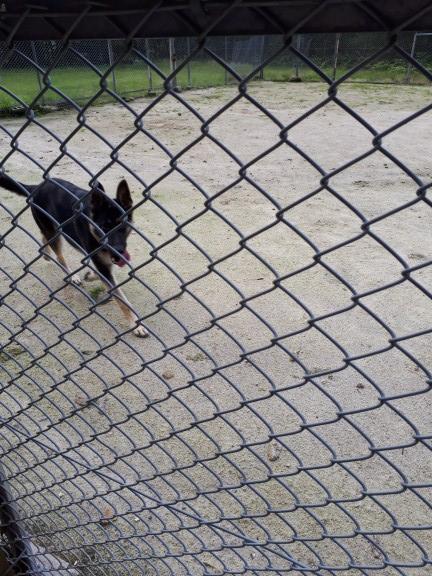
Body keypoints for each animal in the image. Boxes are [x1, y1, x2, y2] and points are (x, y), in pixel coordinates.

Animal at [0, 173, 148, 337]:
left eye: (123, 225)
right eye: (103, 227)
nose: (118, 252)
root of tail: (37, 187)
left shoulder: (104, 262)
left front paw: (90, 275)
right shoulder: (102, 263)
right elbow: (122, 300)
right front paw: (135, 325)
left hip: (55, 230)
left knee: (45, 239)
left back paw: (46, 254)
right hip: (54, 231)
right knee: (59, 256)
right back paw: (71, 275)